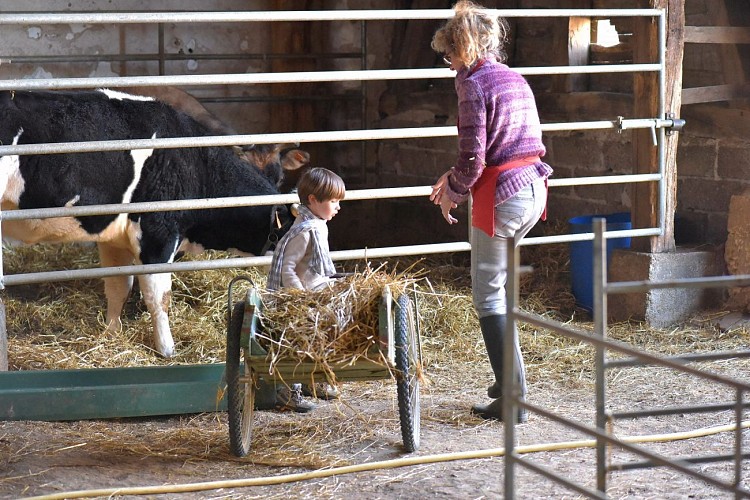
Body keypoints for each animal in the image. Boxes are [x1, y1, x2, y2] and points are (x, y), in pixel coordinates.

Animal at [0, 89, 306, 356]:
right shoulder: (157, 234)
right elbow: (160, 297)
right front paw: (167, 349)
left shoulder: (114, 237)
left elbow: (118, 288)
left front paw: (112, 335)